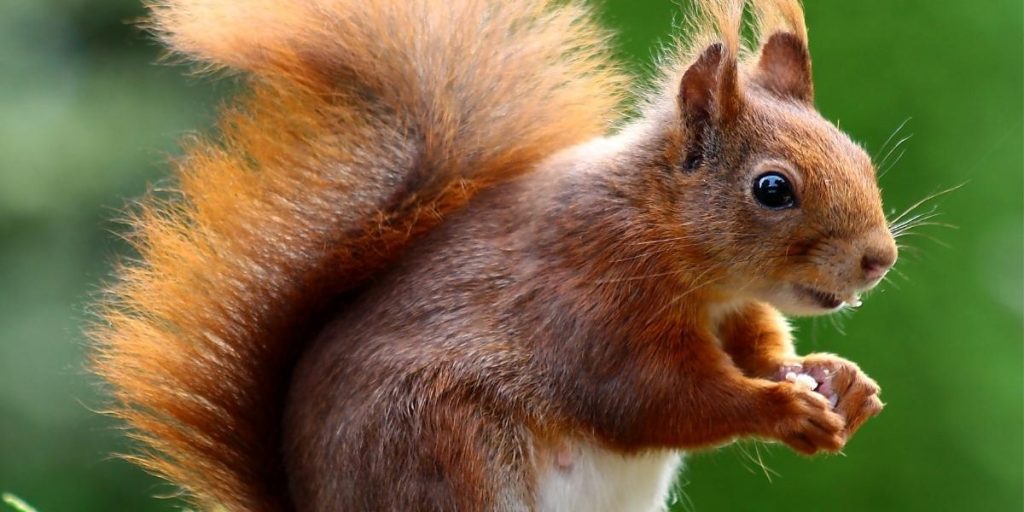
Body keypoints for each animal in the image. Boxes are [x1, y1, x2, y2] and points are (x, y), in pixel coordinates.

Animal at [90, 0, 898, 510]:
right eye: (772, 188)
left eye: (857, 154)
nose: (879, 259)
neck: (666, 237)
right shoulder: (590, 302)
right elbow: (656, 399)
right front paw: (779, 407)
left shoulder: (732, 311)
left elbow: (759, 348)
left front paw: (838, 380)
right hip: (443, 452)